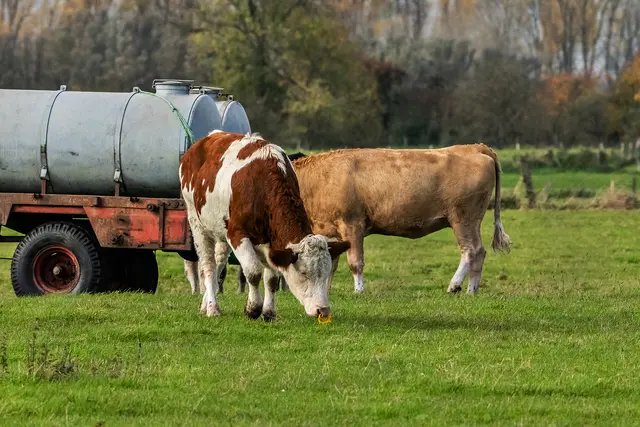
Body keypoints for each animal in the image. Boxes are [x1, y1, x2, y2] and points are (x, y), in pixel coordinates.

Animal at [179, 131, 349, 319]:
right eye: (304, 273)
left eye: (326, 273)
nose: (323, 310)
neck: (262, 187)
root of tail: (209, 137)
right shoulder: (237, 234)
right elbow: (253, 272)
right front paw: (253, 308)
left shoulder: (272, 242)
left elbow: (272, 279)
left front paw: (269, 313)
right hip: (197, 223)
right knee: (208, 265)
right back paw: (212, 308)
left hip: (221, 230)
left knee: (219, 262)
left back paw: (206, 303)